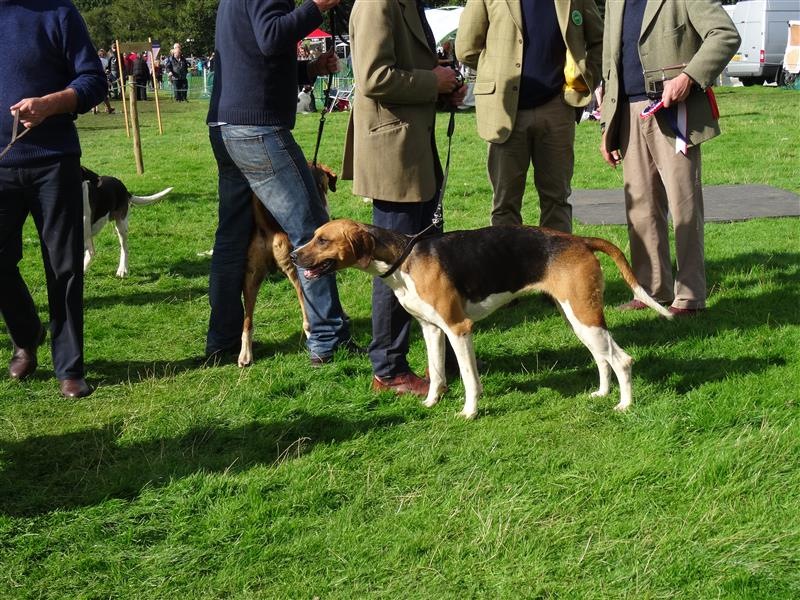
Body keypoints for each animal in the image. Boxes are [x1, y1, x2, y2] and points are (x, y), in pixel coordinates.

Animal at [237, 162, 338, 368]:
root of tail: (268, 228)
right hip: (299, 272)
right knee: (307, 318)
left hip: (250, 278)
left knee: (247, 322)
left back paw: (245, 355)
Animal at [292, 219, 673, 419]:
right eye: (313, 236)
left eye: (323, 240)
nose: (294, 256)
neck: (404, 260)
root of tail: (578, 239)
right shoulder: (431, 330)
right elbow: (437, 374)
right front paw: (430, 402)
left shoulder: (459, 329)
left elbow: (469, 378)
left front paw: (469, 412)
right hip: (579, 318)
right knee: (602, 358)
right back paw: (602, 393)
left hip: (584, 317)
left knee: (622, 360)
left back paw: (624, 404)